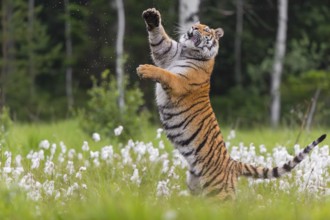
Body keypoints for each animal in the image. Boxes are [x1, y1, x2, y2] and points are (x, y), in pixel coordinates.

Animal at [135, 7, 326, 200]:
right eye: (197, 24)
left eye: (206, 30)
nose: (194, 27)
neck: (187, 52)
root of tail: (233, 163)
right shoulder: (167, 53)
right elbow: (159, 40)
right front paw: (152, 17)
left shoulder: (180, 83)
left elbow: (165, 73)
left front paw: (144, 69)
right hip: (196, 188)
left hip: (219, 194)